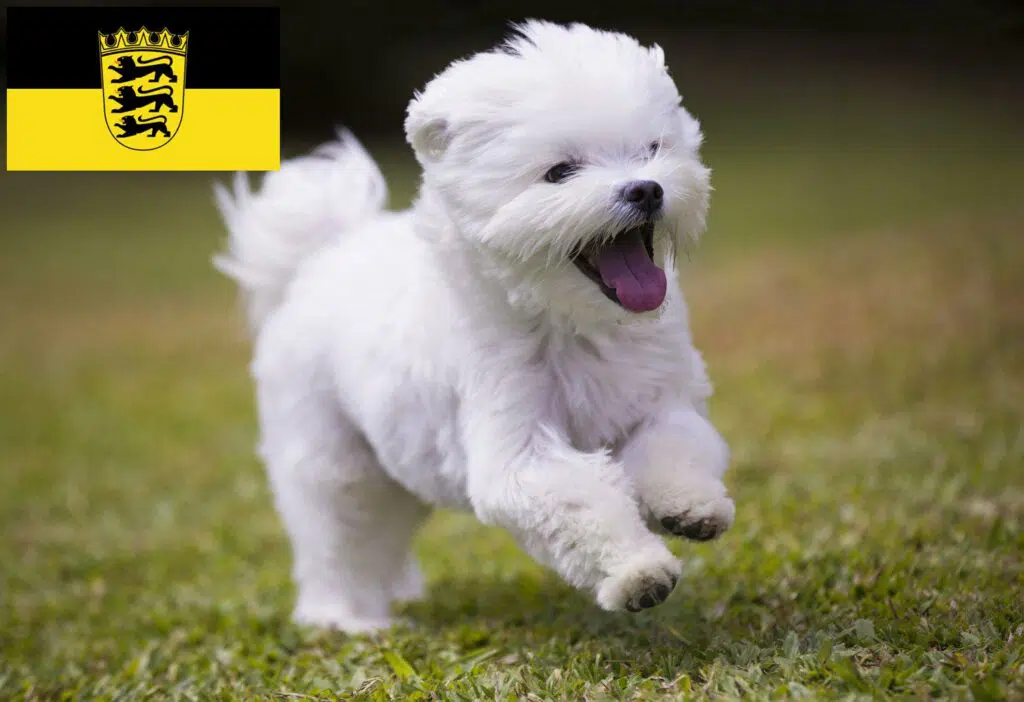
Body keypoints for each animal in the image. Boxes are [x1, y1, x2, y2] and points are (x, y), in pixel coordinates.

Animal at [216, 19, 733, 634]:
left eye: (652, 149)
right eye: (560, 172)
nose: (646, 189)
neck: (574, 322)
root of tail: (319, 258)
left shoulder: (659, 398)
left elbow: (675, 447)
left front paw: (691, 507)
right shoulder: (518, 446)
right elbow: (582, 502)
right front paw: (638, 573)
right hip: (333, 461)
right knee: (339, 539)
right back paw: (347, 619)